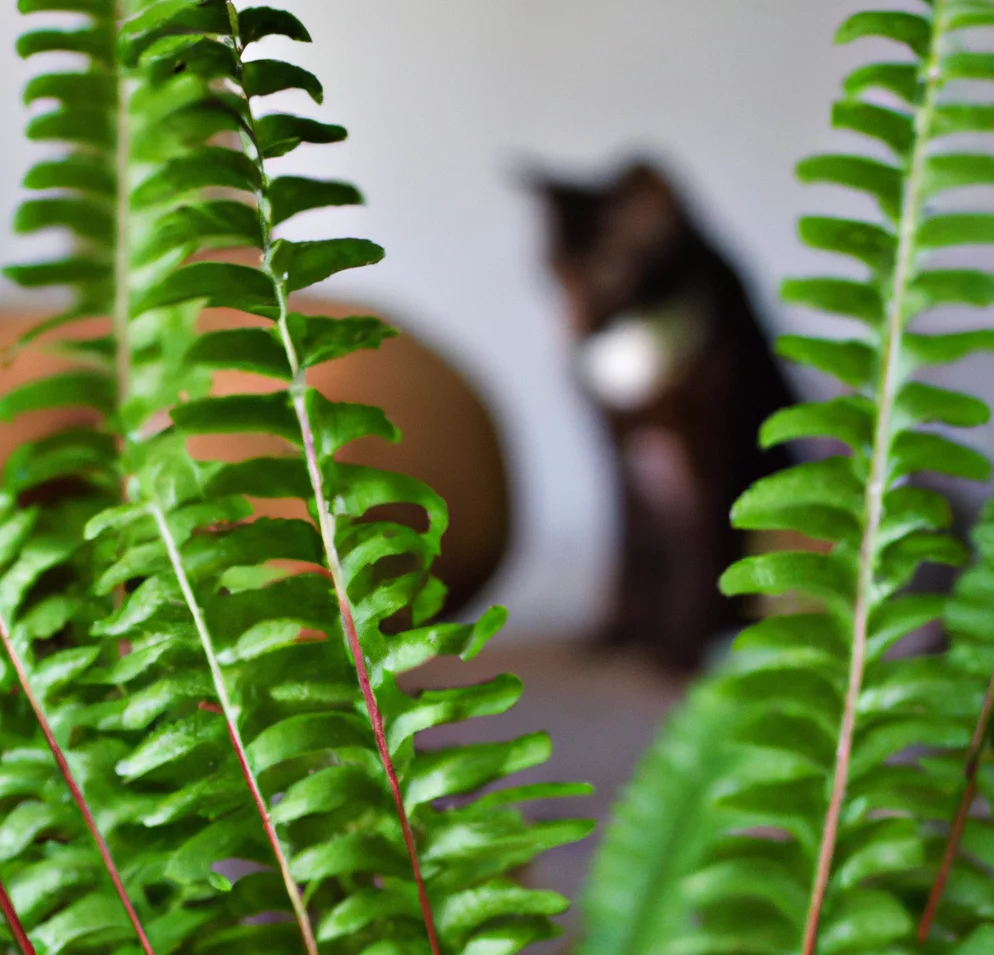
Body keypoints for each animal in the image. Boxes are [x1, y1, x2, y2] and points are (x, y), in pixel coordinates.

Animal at [536, 161, 792, 668]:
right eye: (555, 271)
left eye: (610, 269)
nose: (574, 332)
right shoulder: (616, 448)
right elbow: (626, 552)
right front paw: (612, 635)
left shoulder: (710, 444)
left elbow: (703, 552)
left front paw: (677, 657)